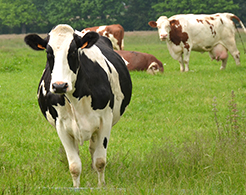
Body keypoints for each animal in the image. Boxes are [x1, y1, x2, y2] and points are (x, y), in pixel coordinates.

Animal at [24, 24, 132, 187]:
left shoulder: (105, 121)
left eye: (74, 51)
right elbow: (74, 165)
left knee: (93, 150)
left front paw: (101, 186)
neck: (76, 99)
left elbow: (100, 161)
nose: (59, 85)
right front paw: (76, 187)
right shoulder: (61, 126)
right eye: (48, 52)